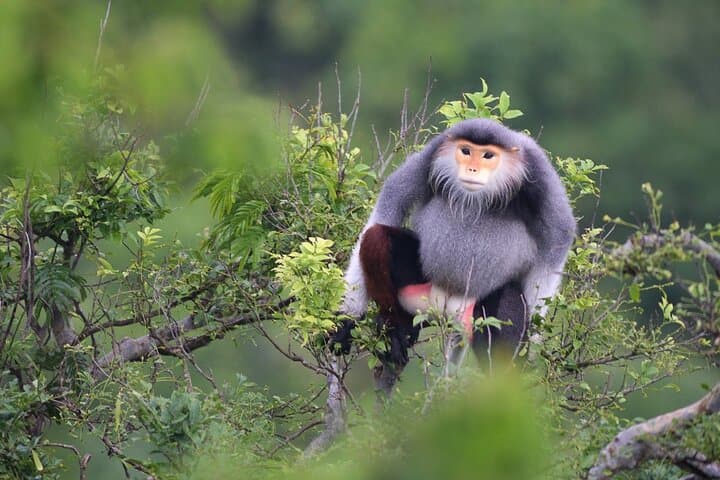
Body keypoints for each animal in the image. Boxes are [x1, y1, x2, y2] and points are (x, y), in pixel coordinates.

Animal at [335, 118, 576, 369]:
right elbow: (389, 206)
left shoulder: (538, 171)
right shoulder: (432, 152)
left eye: (488, 156)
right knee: (375, 238)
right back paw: (396, 331)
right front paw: (348, 319)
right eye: (466, 151)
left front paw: (531, 346)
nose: (472, 169)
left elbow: (559, 236)